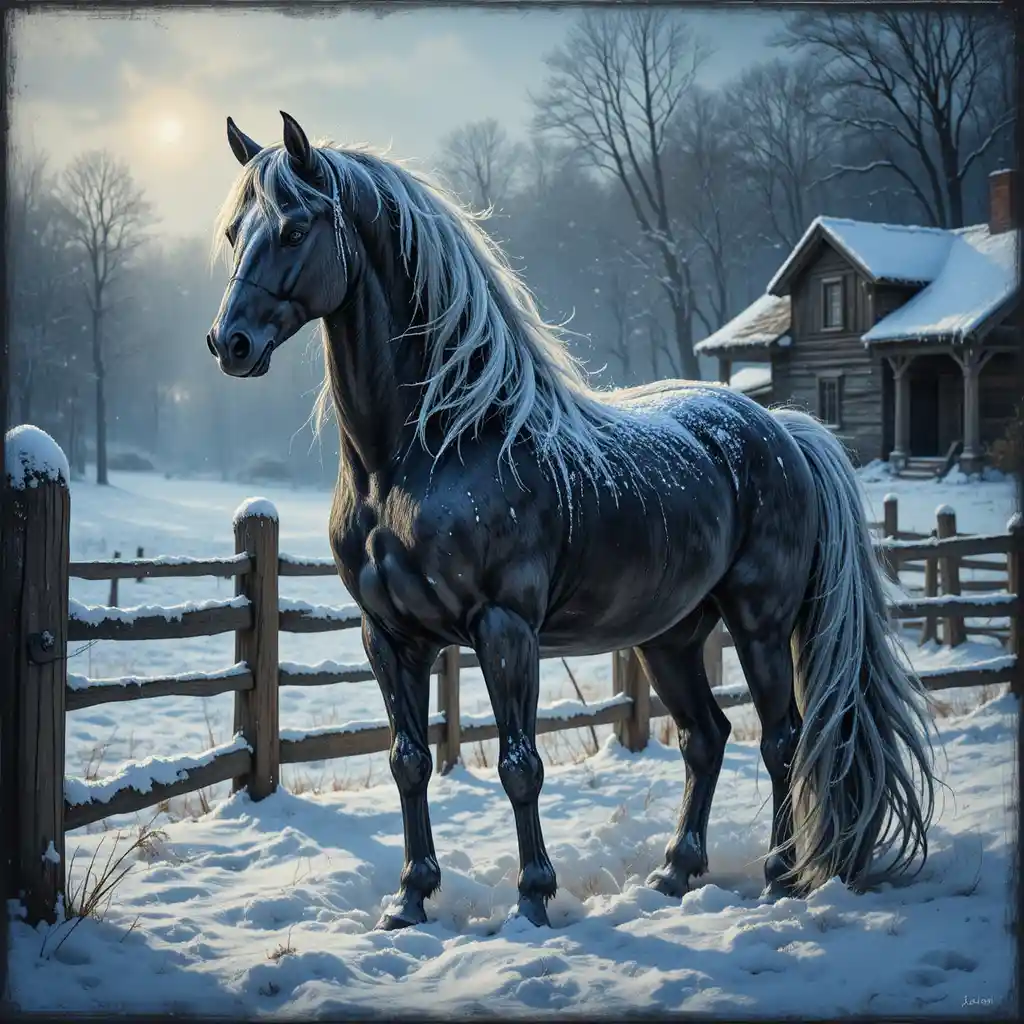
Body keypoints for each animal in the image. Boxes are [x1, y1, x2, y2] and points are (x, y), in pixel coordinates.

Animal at [206, 111, 936, 932]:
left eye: (295, 227)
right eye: (234, 231)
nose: (230, 343)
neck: (425, 451)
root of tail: (783, 428)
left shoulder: (504, 628)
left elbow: (521, 765)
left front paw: (532, 899)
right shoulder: (388, 636)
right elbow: (408, 762)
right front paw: (410, 900)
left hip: (758, 623)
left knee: (780, 740)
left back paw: (780, 876)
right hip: (670, 637)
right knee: (705, 739)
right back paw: (676, 873)